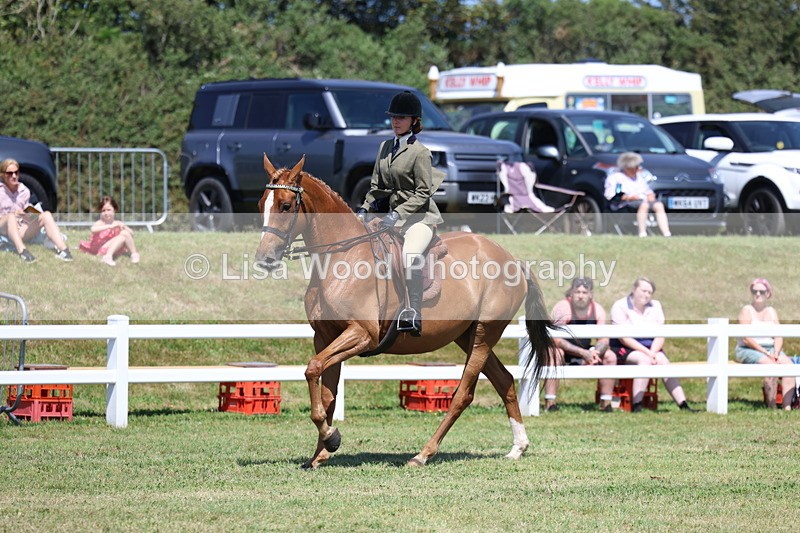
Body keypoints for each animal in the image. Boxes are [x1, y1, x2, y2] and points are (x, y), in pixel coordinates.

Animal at [255, 154, 557, 469]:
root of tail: (512, 260)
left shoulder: (362, 335)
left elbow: (313, 369)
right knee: (504, 380)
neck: (340, 258)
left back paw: (423, 454)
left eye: (285, 206)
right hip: (468, 335)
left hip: (485, 335)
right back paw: (518, 447)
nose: (265, 259)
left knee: (463, 393)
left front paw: (330, 438)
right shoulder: (324, 337)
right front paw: (321, 453)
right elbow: (326, 393)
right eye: (261, 203)